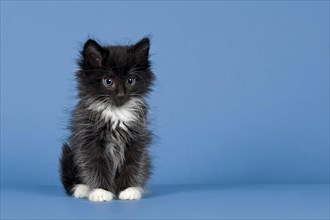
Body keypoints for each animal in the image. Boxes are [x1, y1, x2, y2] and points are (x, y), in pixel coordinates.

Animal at [59, 37, 155, 201]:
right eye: (108, 81)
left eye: (130, 81)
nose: (121, 94)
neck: (116, 113)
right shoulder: (88, 139)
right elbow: (95, 165)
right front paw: (101, 191)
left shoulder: (137, 139)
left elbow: (133, 164)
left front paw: (128, 189)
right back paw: (83, 188)